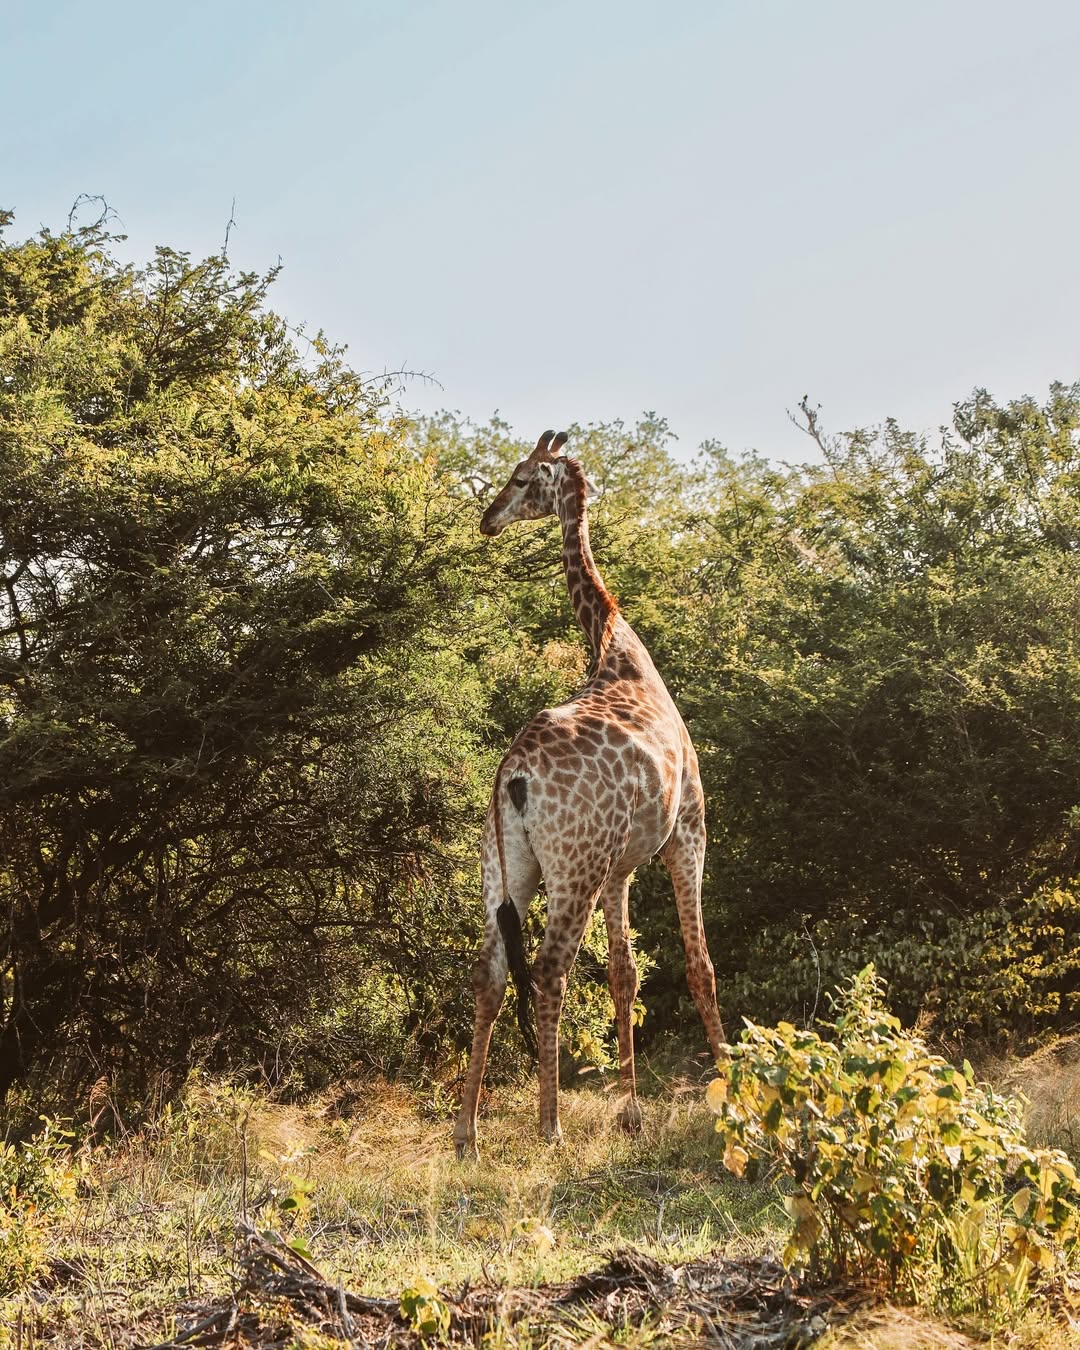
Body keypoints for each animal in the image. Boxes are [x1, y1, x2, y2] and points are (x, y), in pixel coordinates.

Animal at [453, 429, 727, 1160]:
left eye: (522, 478)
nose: (488, 519)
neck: (614, 645)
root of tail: (513, 776)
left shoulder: (619, 867)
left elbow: (624, 974)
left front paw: (631, 1113)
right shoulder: (686, 832)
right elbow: (698, 963)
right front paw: (731, 1086)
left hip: (506, 867)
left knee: (489, 973)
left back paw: (466, 1134)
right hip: (572, 867)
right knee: (550, 969)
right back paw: (548, 1125)